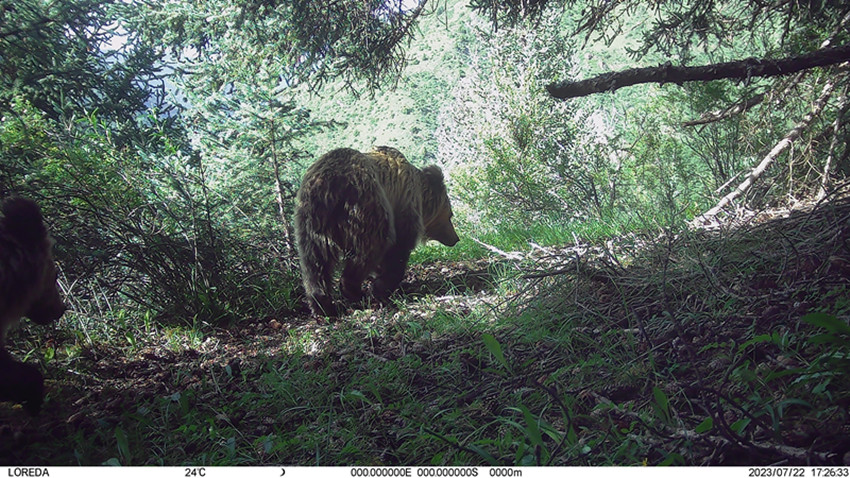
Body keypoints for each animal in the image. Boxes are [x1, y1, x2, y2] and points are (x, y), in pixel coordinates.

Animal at [294, 146, 459, 317]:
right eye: (450, 215)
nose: (456, 238)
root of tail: (328, 184)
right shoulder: (403, 203)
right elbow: (399, 247)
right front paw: (383, 287)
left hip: (311, 221)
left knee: (315, 262)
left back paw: (323, 305)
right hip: (365, 204)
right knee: (370, 248)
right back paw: (354, 291)